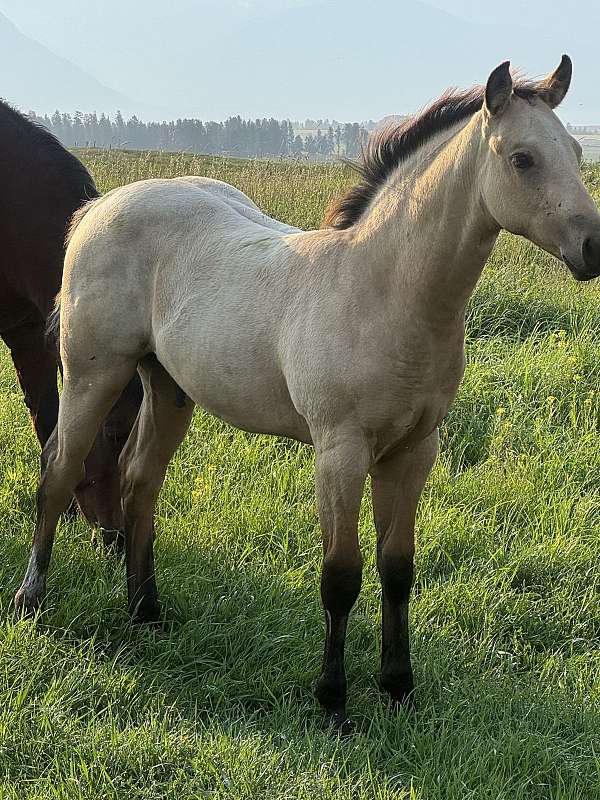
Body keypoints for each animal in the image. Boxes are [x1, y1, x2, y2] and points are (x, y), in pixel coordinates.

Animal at [14, 56, 600, 731]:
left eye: (576, 154)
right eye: (523, 159)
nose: (594, 247)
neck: (383, 294)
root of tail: (99, 205)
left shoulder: (414, 451)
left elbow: (398, 568)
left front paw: (398, 687)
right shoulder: (339, 451)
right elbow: (341, 575)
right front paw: (334, 702)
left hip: (167, 386)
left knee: (140, 481)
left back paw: (145, 613)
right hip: (94, 372)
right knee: (60, 469)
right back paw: (32, 599)